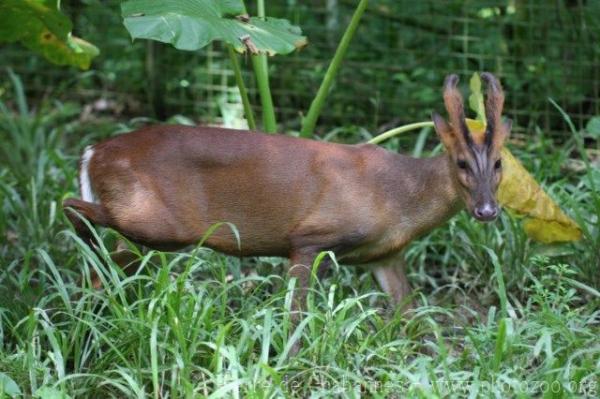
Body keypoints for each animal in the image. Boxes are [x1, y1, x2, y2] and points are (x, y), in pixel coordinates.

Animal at [63, 72, 508, 338]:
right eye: (461, 162)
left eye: (500, 162)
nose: (487, 211)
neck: (398, 197)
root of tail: (93, 152)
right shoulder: (310, 237)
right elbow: (296, 313)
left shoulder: (385, 255)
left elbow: (411, 316)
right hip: (158, 222)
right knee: (71, 204)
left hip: (147, 235)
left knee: (103, 267)